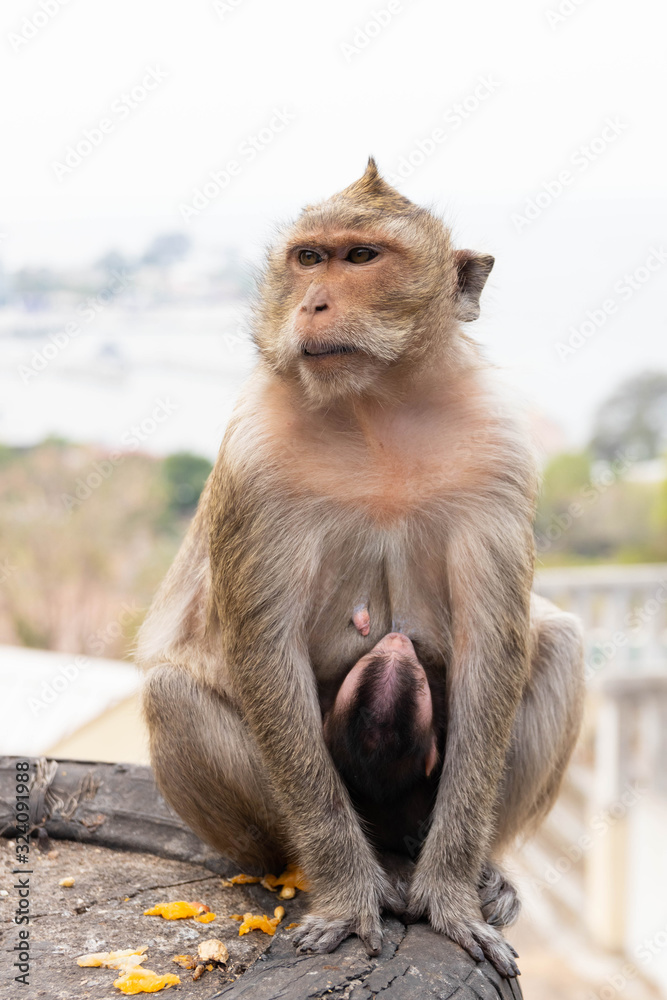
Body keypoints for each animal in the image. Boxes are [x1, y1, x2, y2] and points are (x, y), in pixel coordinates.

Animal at [138, 159, 584, 978]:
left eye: (361, 257)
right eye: (309, 257)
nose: (313, 302)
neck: (377, 404)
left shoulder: (500, 446)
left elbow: (492, 649)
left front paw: (450, 896)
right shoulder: (257, 456)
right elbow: (264, 651)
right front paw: (349, 899)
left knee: (561, 645)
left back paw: (483, 871)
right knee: (172, 693)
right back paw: (320, 869)